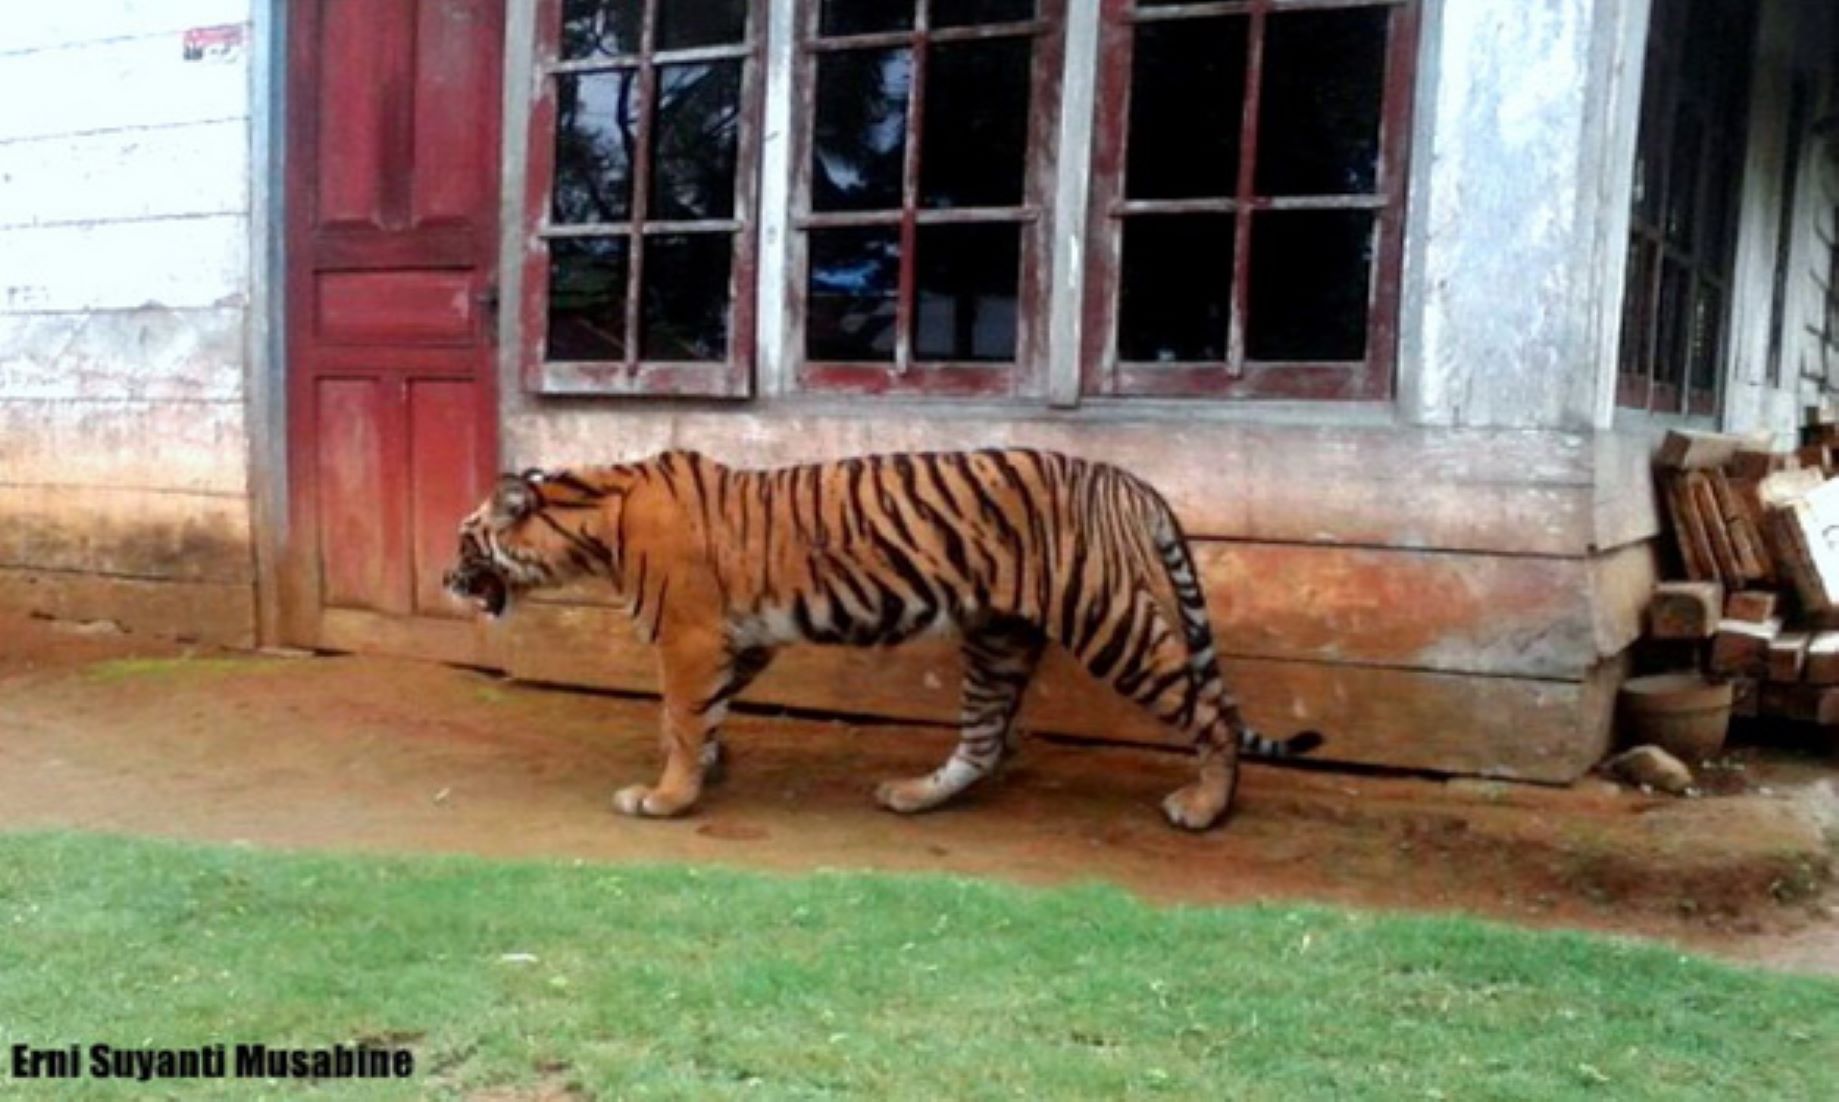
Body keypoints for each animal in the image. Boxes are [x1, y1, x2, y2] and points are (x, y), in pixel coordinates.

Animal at [452, 447, 1331, 827]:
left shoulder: (690, 635)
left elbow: (679, 712)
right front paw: (703, 765)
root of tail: (1129, 478)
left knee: (1213, 712)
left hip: (1108, 620)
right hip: (999, 636)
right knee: (980, 740)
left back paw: (1206, 805)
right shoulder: (739, 638)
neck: (593, 517)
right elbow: (698, 715)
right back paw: (913, 795)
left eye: (466, 543)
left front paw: (666, 796)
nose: (447, 582)